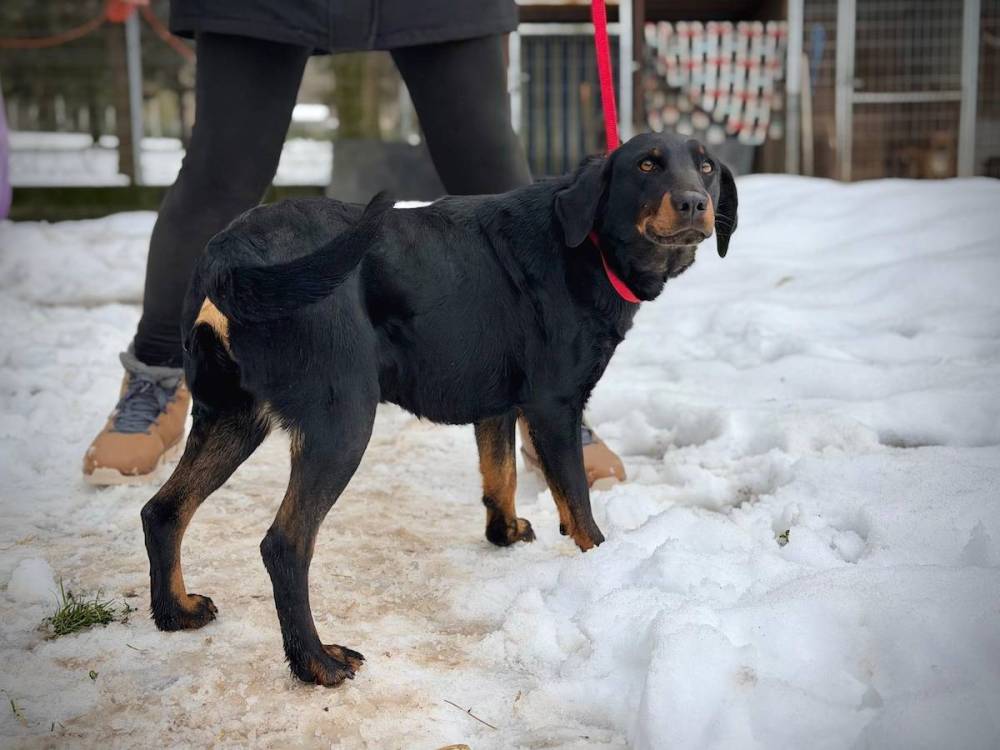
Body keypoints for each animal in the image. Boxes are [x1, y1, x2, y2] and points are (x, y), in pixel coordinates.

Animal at [140, 132, 738, 686]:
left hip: (234, 418)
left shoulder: (499, 405)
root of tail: (229, 254)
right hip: (341, 422)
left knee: (163, 510)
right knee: (285, 545)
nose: (694, 202)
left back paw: (176, 612)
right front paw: (603, 568)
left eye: (706, 166)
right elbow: (578, 505)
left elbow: (500, 474)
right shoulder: (554, 406)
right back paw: (316, 662)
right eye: (646, 165)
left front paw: (505, 533)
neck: (584, 243)